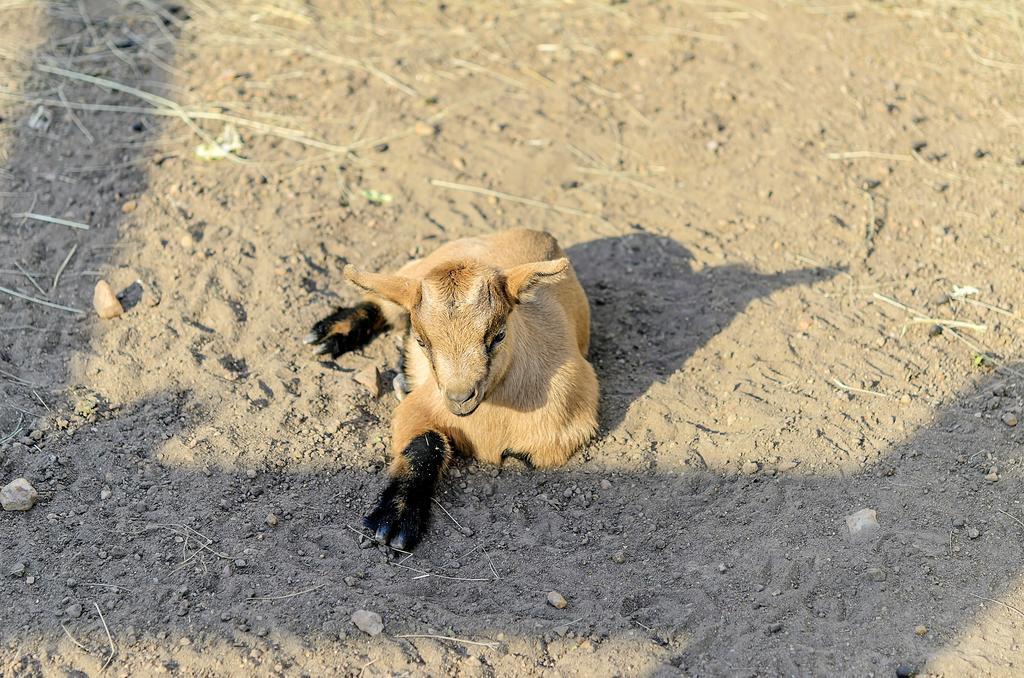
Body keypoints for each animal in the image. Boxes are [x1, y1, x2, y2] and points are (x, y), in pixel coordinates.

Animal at [305, 231, 598, 548]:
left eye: (499, 335)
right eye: (421, 341)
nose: (460, 398)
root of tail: (539, 233)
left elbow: (520, 458)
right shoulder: (419, 406)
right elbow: (425, 445)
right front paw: (395, 518)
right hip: (412, 272)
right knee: (383, 301)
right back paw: (332, 332)